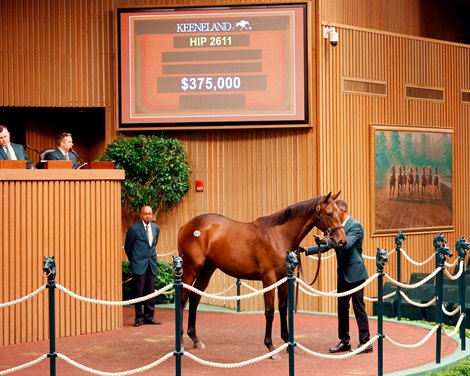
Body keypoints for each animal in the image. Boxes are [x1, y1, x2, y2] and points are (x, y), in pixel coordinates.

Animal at [178, 192, 346, 356]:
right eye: (329, 213)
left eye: (340, 213)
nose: (342, 241)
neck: (279, 236)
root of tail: (186, 226)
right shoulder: (269, 279)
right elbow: (269, 311)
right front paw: (270, 347)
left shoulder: (283, 278)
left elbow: (283, 308)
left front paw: (287, 342)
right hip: (191, 269)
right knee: (183, 299)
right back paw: (181, 341)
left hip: (207, 269)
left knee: (195, 297)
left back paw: (195, 339)